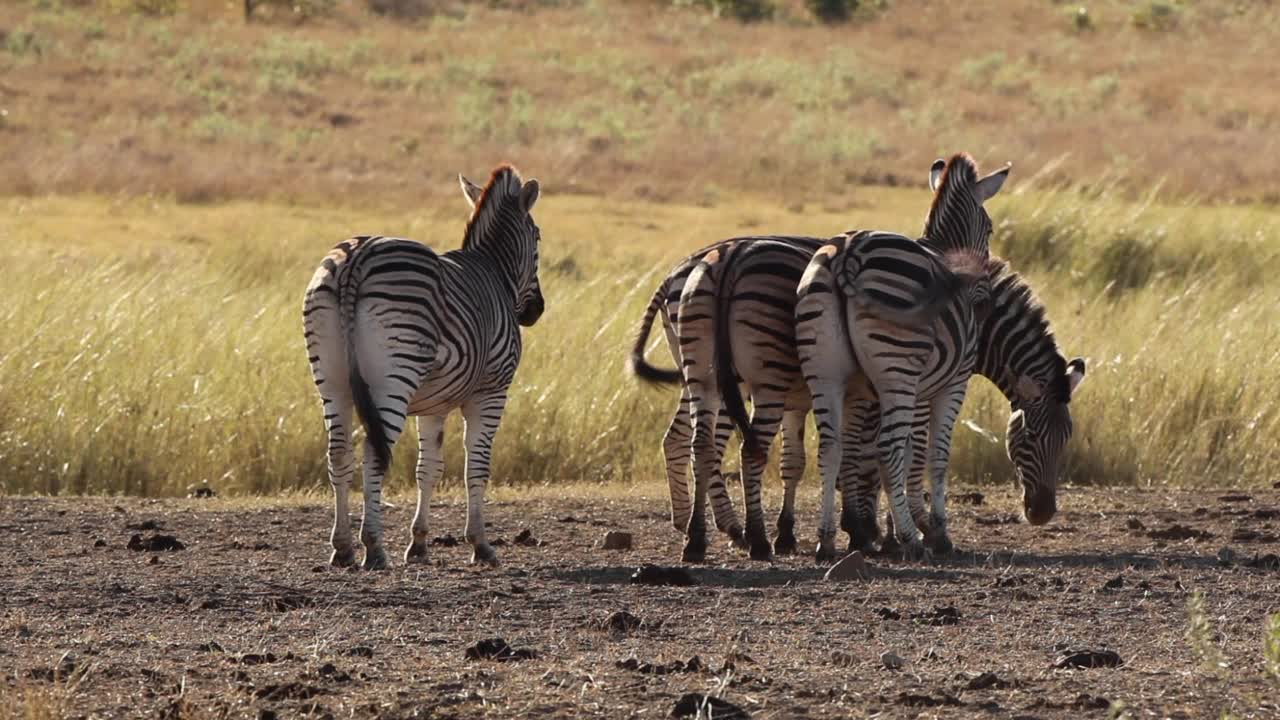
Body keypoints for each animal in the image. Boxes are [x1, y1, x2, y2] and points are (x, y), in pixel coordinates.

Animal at [304, 165, 545, 568]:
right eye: (539, 240)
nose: (536, 311)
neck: (496, 272)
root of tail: (357, 256)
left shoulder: (434, 404)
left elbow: (427, 469)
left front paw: (418, 544)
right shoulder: (491, 391)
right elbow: (476, 466)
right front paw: (481, 544)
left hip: (331, 380)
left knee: (338, 453)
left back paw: (342, 548)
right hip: (394, 378)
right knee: (374, 452)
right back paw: (373, 547)